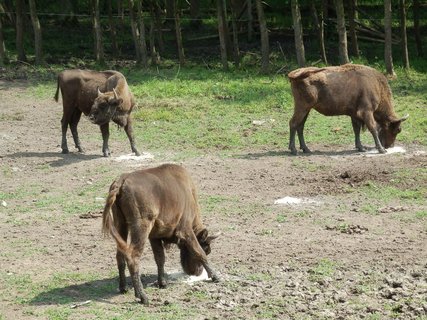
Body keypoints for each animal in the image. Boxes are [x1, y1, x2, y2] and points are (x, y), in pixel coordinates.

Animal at [101, 164, 219, 304]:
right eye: (207, 248)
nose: (196, 272)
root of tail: (121, 181)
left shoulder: (154, 237)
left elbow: (160, 258)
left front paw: (162, 283)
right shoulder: (186, 230)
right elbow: (198, 251)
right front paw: (215, 277)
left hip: (121, 224)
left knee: (120, 255)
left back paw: (123, 288)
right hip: (141, 227)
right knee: (133, 256)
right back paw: (143, 297)